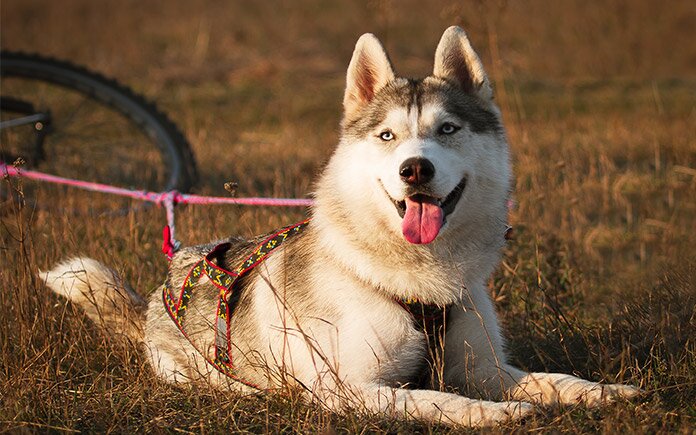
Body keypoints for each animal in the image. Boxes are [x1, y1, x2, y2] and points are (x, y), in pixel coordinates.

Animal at [43, 28, 640, 430]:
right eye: (386, 136)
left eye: (447, 129)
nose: (414, 169)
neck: (420, 280)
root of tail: (168, 275)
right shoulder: (350, 389)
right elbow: (434, 399)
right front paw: (495, 414)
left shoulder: (484, 366)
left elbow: (549, 380)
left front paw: (602, 391)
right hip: (197, 372)